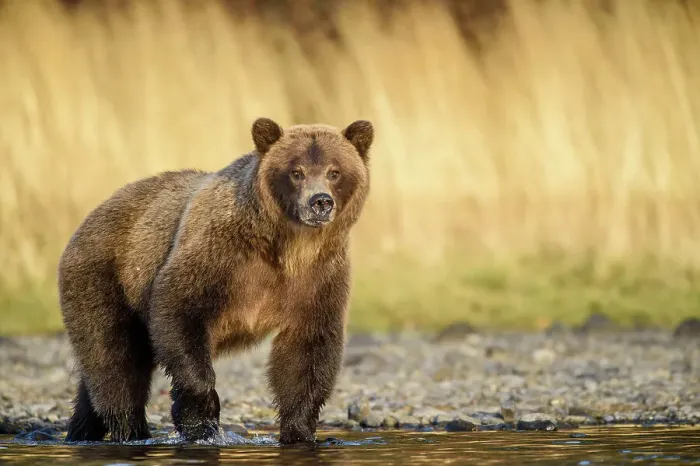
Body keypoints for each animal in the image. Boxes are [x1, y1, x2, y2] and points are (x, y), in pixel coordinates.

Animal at [57, 117, 374, 444]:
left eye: (334, 171)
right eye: (296, 172)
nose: (320, 202)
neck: (289, 247)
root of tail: (91, 216)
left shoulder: (317, 276)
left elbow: (308, 348)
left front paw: (299, 430)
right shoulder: (219, 254)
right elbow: (179, 308)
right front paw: (199, 420)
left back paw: (82, 429)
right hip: (108, 277)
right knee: (115, 358)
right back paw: (129, 429)